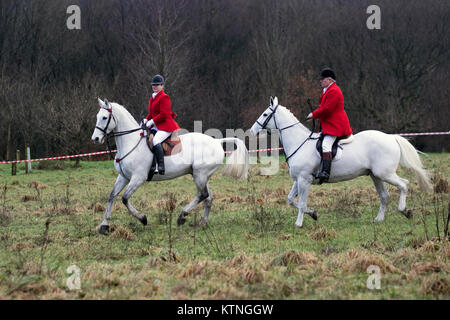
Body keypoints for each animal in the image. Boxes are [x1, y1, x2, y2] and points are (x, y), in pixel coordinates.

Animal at [90, 97, 248, 232]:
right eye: (97, 116)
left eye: (104, 117)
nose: (95, 139)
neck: (131, 142)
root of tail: (216, 141)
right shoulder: (124, 177)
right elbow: (112, 196)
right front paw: (104, 225)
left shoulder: (138, 178)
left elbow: (124, 198)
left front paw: (143, 219)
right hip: (201, 175)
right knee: (208, 198)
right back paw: (202, 223)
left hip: (200, 174)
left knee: (202, 195)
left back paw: (182, 216)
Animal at [250, 97, 432, 228]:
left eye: (265, 114)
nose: (252, 131)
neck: (299, 142)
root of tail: (391, 137)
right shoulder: (298, 179)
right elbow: (290, 199)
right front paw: (313, 213)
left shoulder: (304, 179)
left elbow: (301, 203)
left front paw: (299, 223)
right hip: (376, 176)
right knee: (384, 196)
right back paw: (379, 219)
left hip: (385, 173)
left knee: (404, 184)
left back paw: (404, 210)